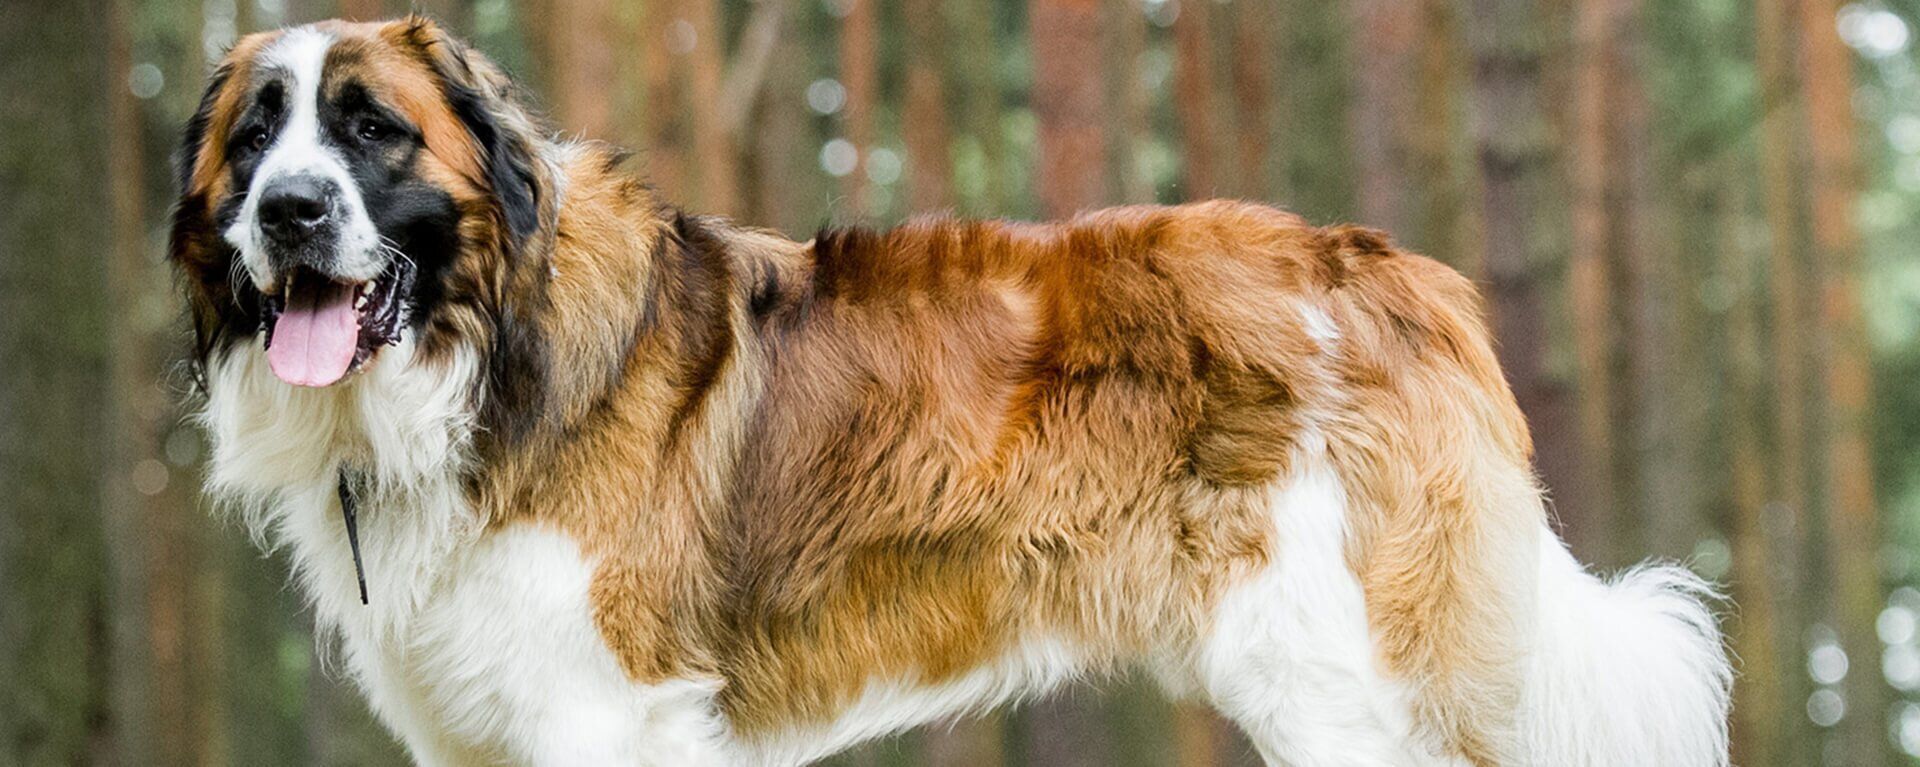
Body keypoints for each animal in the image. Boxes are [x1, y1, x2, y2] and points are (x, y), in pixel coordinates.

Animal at [176, 18, 1743, 767]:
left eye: (372, 132)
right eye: (256, 139)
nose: (292, 211)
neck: (483, 357)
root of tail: (1392, 271)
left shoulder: (602, 712)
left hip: (1347, 678)